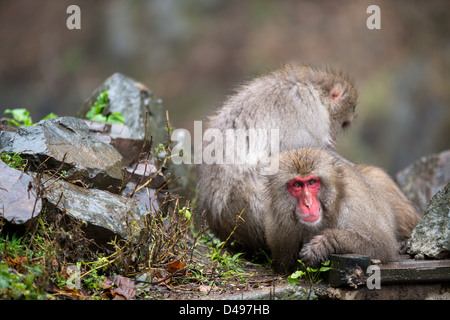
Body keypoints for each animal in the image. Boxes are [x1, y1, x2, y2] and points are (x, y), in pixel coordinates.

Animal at [264, 148, 418, 272]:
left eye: (312, 182)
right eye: (296, 185)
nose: (308, 204)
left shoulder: (354, 204)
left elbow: (381, 245)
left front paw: (324, 243)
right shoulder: (279, 231)